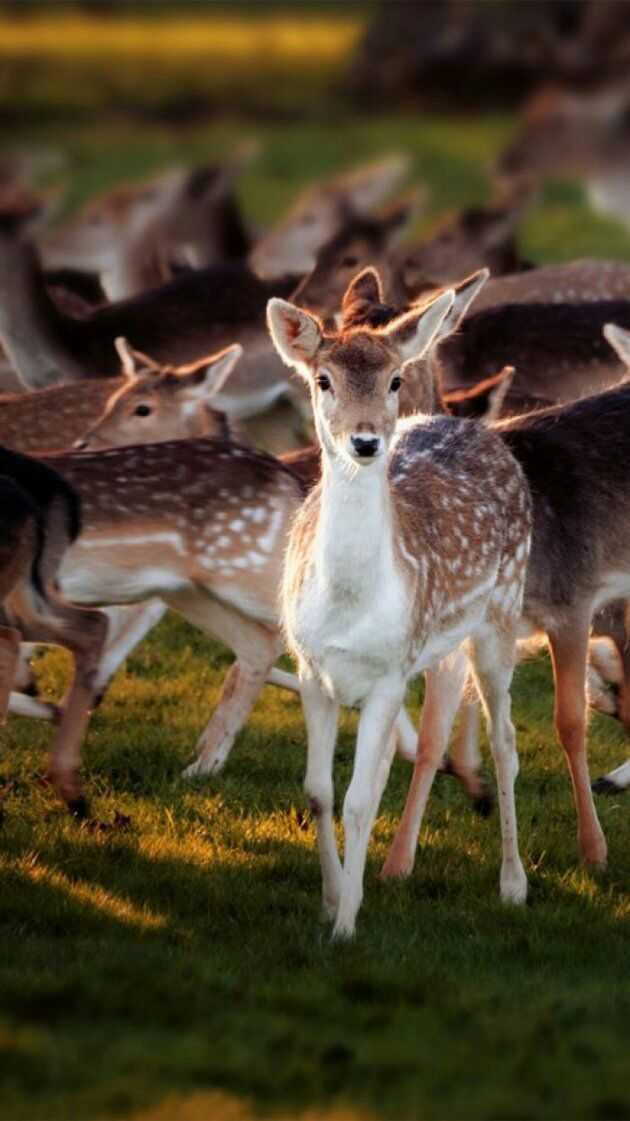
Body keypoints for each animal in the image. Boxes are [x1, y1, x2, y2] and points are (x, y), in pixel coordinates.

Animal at [265, 286, 529, 937]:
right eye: (324, 380)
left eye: (393, 379)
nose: (364, 442)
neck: (347, 605)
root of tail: (473, 424)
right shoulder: (312, 669)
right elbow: (319, 790)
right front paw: (334, 898)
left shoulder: (387, 673)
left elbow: (359, 801)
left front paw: (345, 927)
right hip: (437, 647)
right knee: (418, 743)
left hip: (501, 614)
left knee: (506, 739)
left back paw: (513, 883)